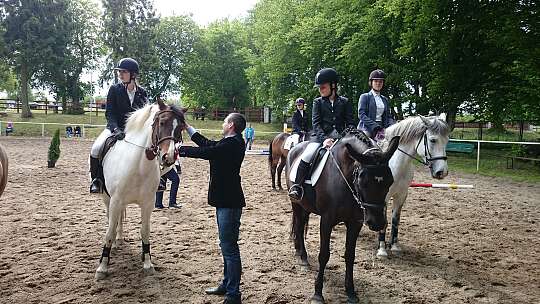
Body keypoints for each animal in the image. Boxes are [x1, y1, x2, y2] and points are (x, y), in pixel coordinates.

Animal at [284, 128, 398, 304]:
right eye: (363, 180)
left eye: (390, 181)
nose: (377, 223)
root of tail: (296, 147)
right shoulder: (326, 221)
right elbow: (324, 255)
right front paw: (318, 294)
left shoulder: (355, 223)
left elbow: (350, 255)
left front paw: (350, 292)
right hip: (295, 202)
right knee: (298, 225)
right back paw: (302, 257)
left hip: (306, 206)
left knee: (301, 224)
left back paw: (300, 253)